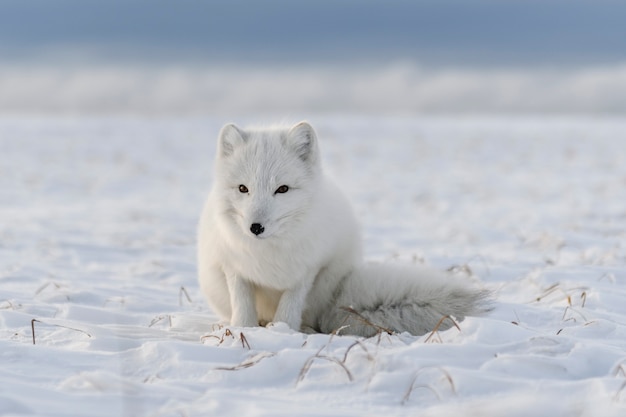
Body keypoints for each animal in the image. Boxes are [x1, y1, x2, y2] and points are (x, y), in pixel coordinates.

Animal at [197, 120, 490, 334]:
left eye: (282, 189)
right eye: (243, 188)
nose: (255, 228)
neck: (269, 251)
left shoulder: (309, 269)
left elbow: (290, 306)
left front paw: (283, 331)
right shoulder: (233, 268)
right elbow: (243, 305)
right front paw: (242, 331)